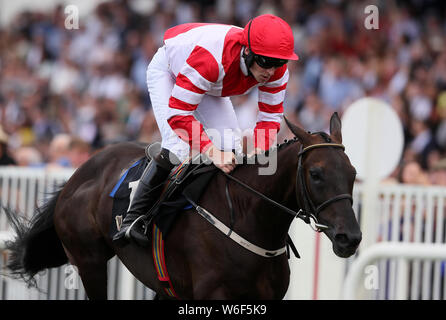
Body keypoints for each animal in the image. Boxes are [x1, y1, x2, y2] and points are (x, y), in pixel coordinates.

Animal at [4, 113, 362, 300]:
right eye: (316, 174)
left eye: (353, 173)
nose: (351, 238)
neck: (246, 217)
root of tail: (78, 174)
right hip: (88, 261)